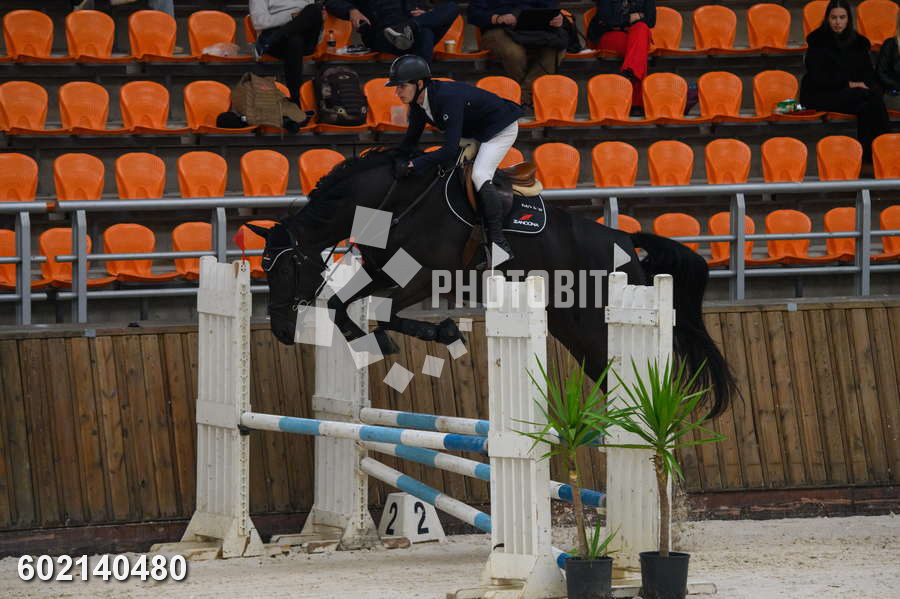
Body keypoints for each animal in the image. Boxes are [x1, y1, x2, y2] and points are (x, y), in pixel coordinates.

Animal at [247, 148, 734, 417]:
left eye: (282, 268)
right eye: (264, 268)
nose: (281, 331)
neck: (392, 202)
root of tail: (625, 240)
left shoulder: (423, 277)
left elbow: (381, 313)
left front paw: (440, 331)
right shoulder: (381, 272)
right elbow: (340, 306)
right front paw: (380, 340)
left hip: (598, 323)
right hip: (574, 330)